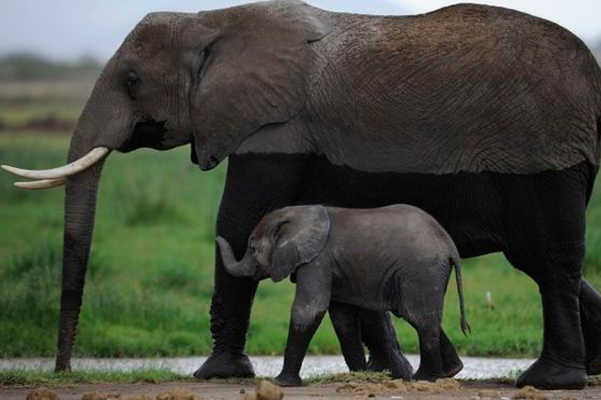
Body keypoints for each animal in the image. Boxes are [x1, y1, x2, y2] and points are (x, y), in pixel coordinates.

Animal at [217, 205, 468, 386]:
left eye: (252, 249)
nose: (217, 237)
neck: (296, 214)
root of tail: (449, 245)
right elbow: (342, 319)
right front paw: (360, 376)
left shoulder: (318, 261)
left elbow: (308, 310)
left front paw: (280, 384)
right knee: (421, 316)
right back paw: (450, 371)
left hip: (421, 270)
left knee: (418, 316)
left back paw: (424, 379)